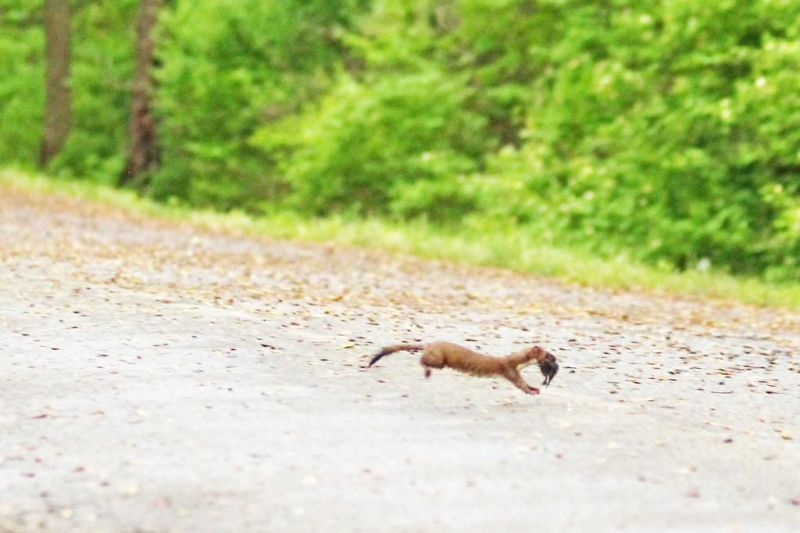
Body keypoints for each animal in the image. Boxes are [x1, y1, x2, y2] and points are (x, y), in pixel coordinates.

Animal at [368, 340, 560, 394]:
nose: (556, 359)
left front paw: (535, 388)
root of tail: (429, 344)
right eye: (548, 355)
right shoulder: (510, 370)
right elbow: (520, 384)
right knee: (424, 361)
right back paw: (427, 371)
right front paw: (532, 390)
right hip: (440, 360)